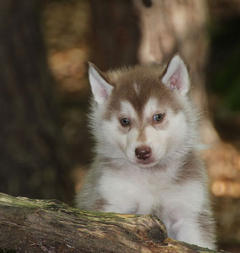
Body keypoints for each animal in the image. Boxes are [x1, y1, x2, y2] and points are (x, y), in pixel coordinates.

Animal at [76, 55, 217, 249]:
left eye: (158, 117)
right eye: (125, 121)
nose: (142, 152)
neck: (151, 176)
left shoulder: (189, 212)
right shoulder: (111, 201)